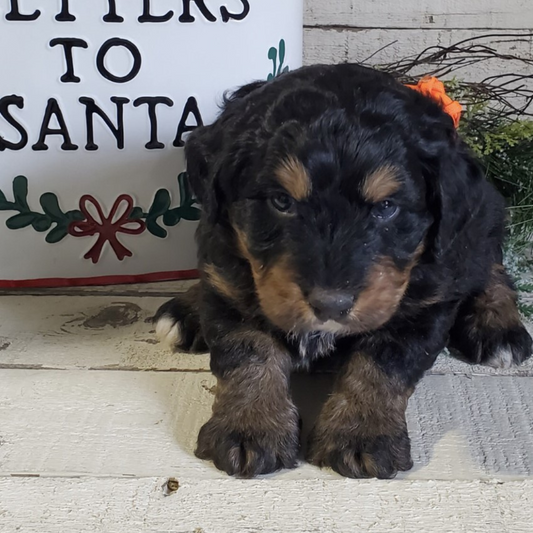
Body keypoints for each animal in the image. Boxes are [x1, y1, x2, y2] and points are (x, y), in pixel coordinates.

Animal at [153, 62, 528, 478]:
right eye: (281, 201)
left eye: (386, 208)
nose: (330, 305)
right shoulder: (228, 281)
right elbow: (247, 350)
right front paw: (250, 426)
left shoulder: (427, 302)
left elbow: (383, 361)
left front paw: (361, 432)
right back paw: (185, 311)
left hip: (481, 219)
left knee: (489, 264)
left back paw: (498, 327)